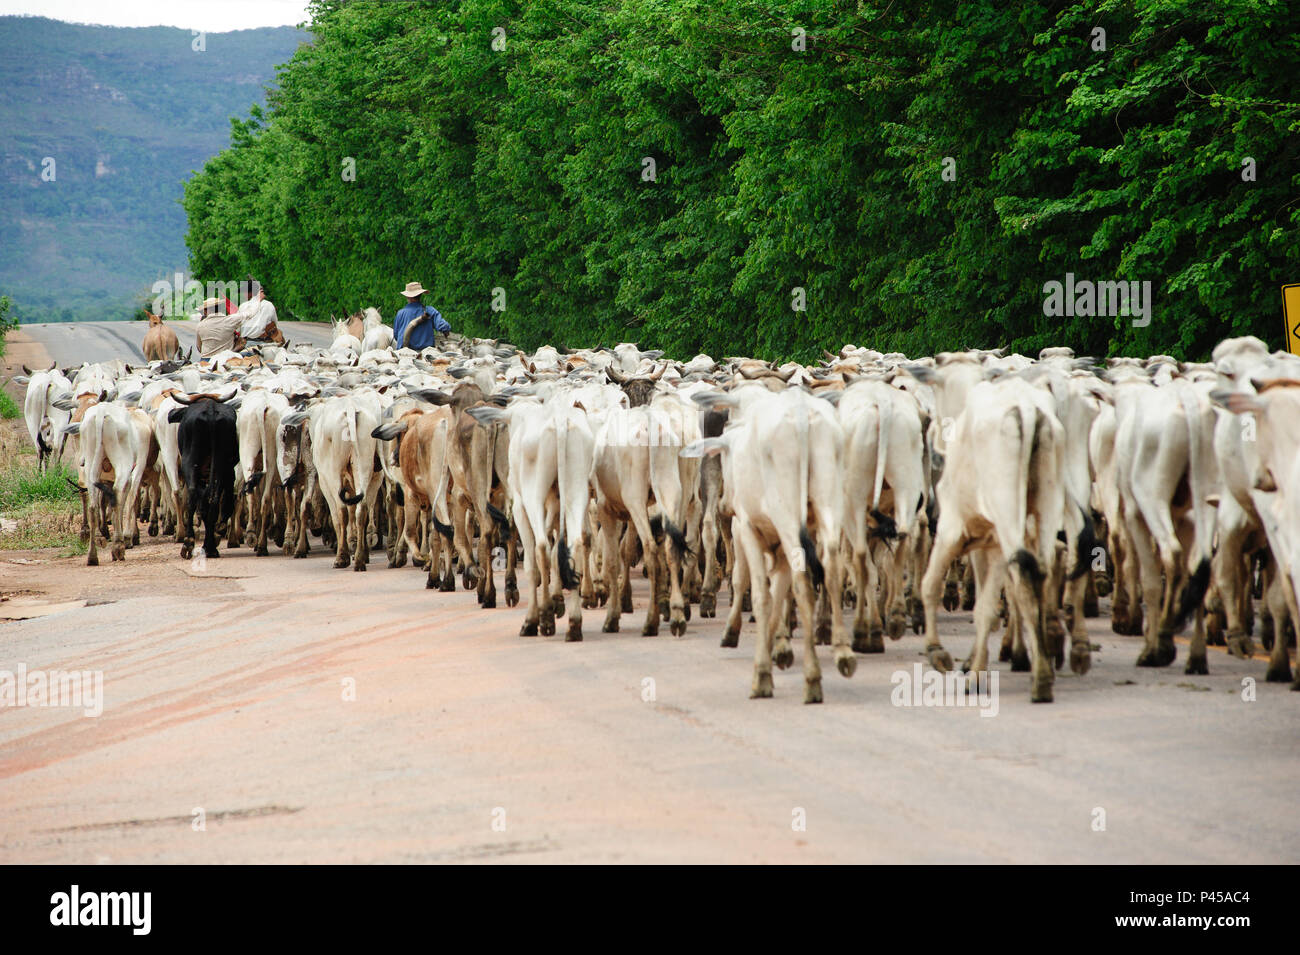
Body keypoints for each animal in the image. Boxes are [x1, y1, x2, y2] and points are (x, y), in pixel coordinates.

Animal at [169, 394, 240, 563]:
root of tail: (210, 408)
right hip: (219, 464)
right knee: (212, 498)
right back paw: (206, 545)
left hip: (191, 461)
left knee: (195, 495)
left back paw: (191, 543)